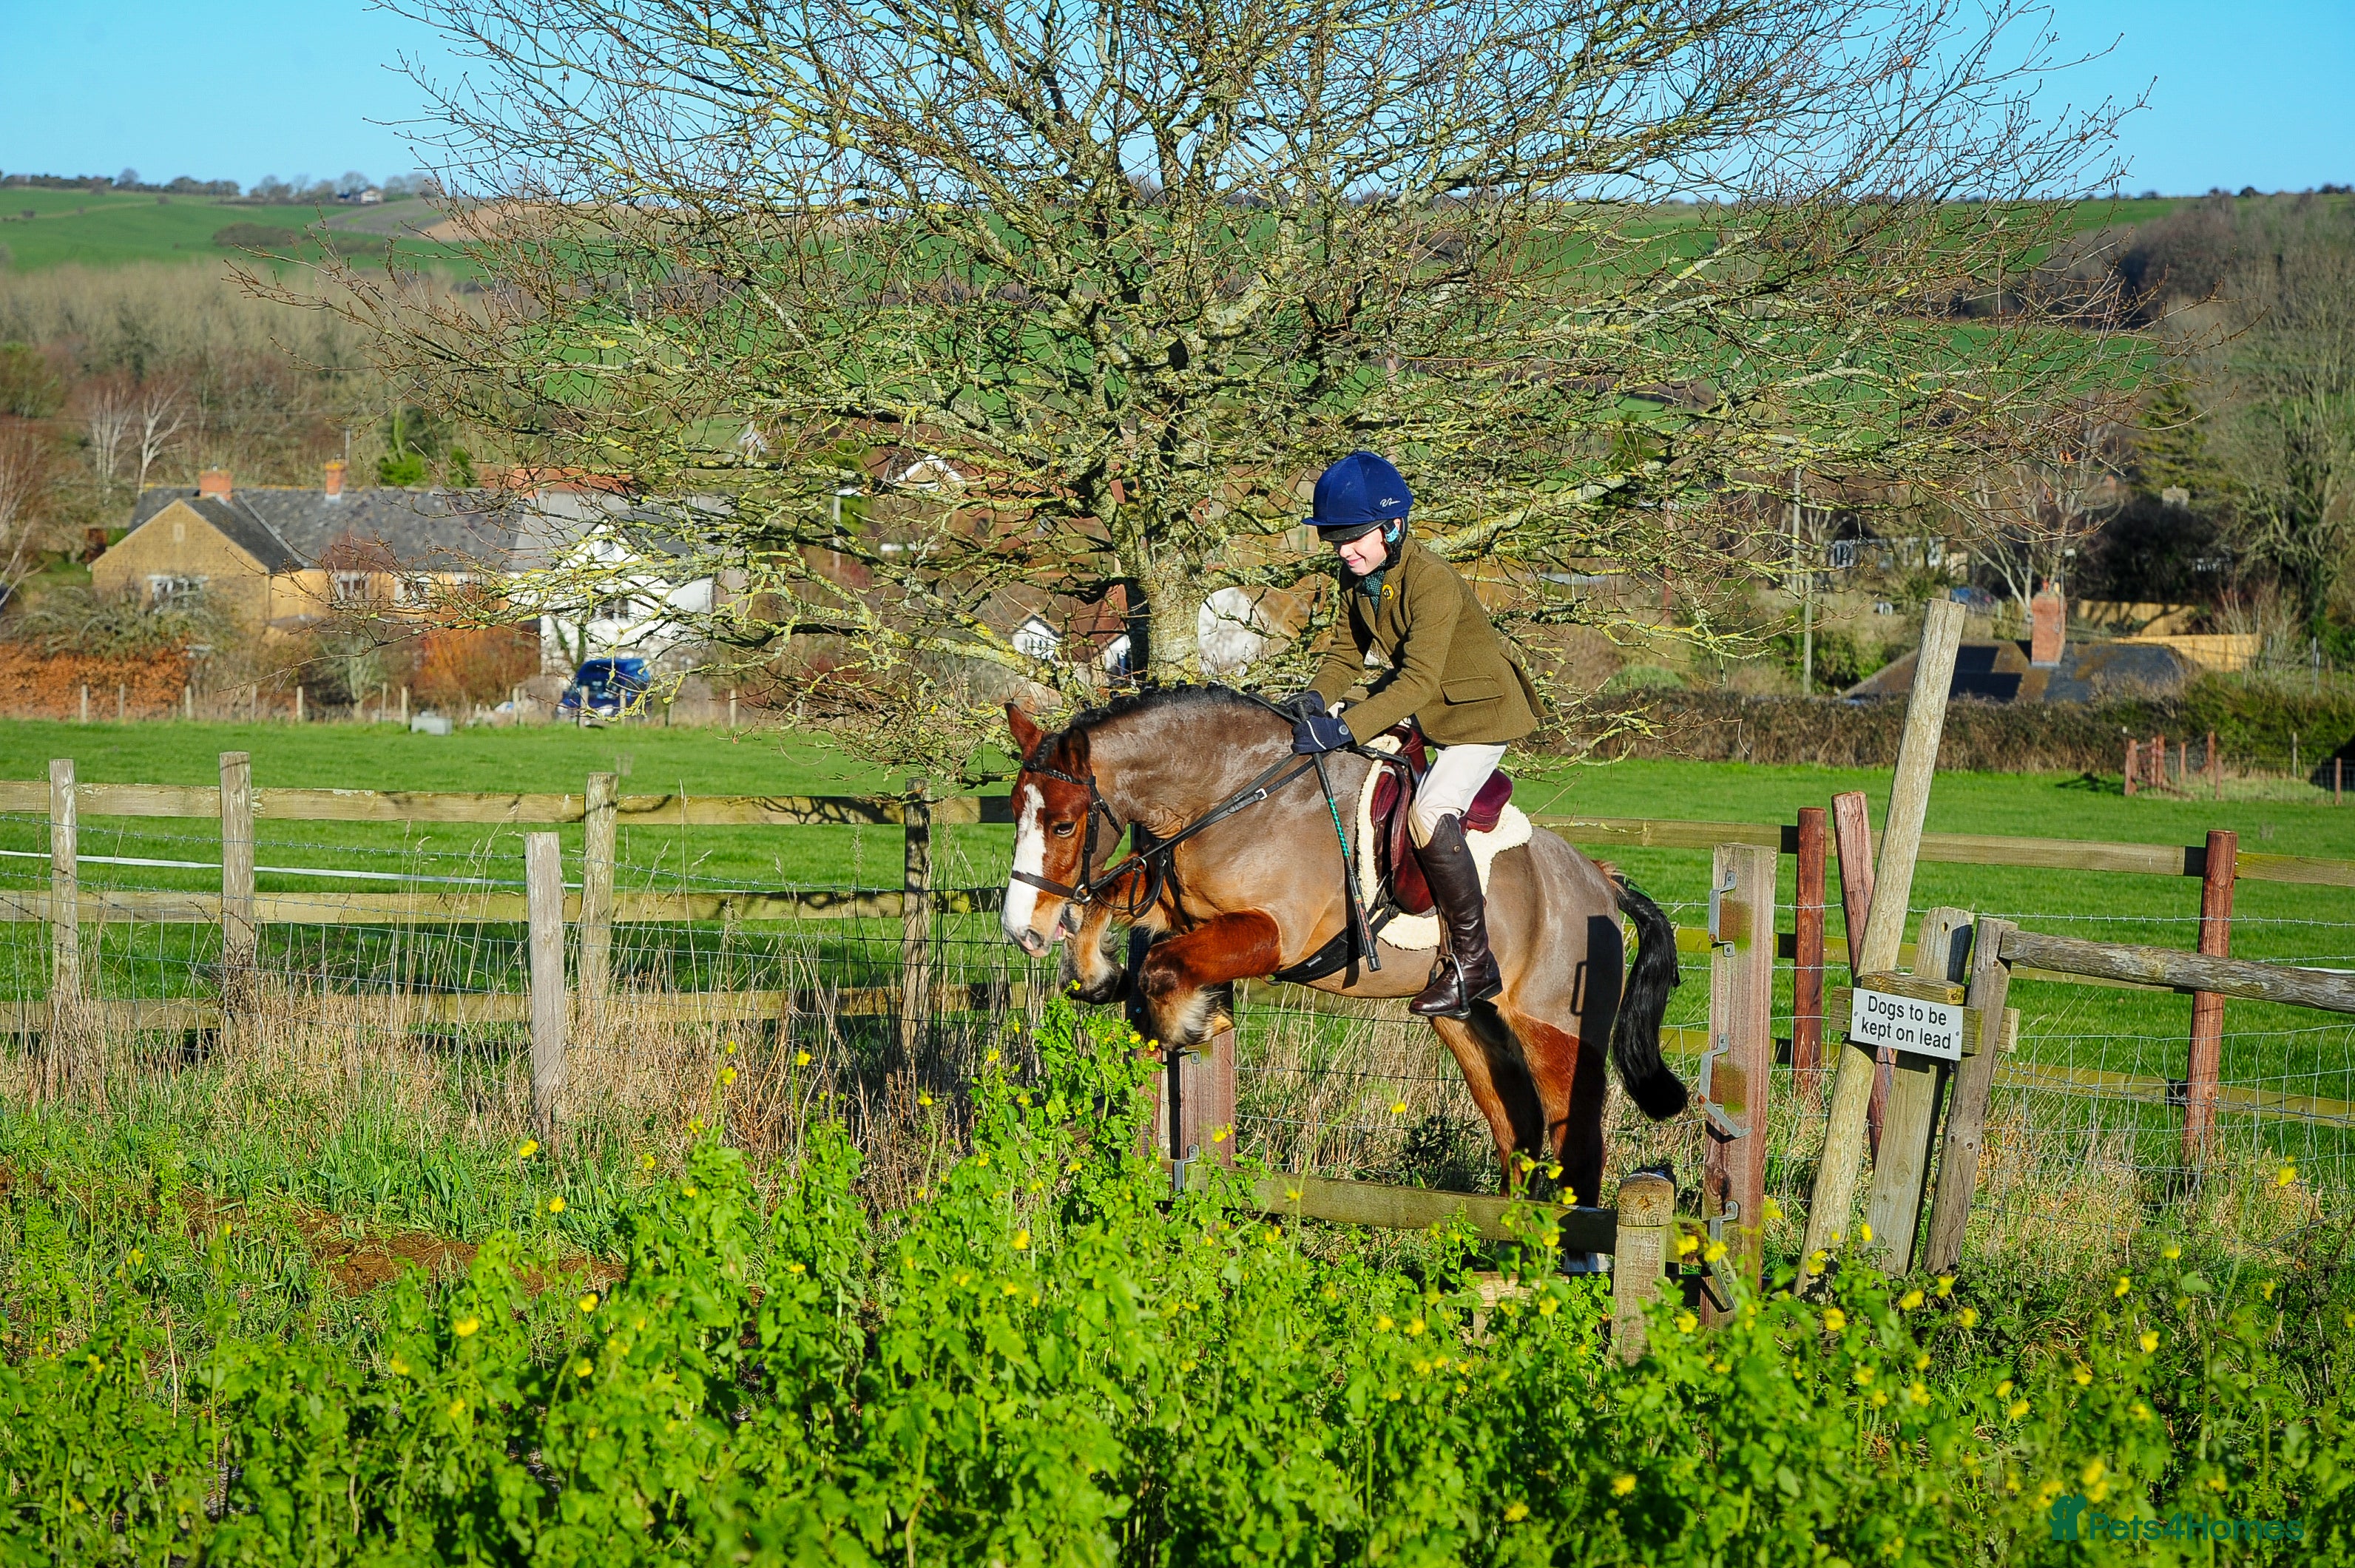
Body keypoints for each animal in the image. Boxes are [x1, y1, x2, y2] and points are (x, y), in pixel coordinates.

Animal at [997, 686, 1687, 1207]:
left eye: (1064, 825)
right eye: (1014, 813)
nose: (1020, 931)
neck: (1230, 794)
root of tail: (1599, 878)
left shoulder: (1273, 935)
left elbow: (1164, 966)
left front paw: (1191, 1021)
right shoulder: (1174, 902)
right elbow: (1112, 899)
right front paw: (1097, 973)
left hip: (1557, 1030)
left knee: (1579, 1146)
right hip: (1470, 1027)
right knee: (1517, 1133)